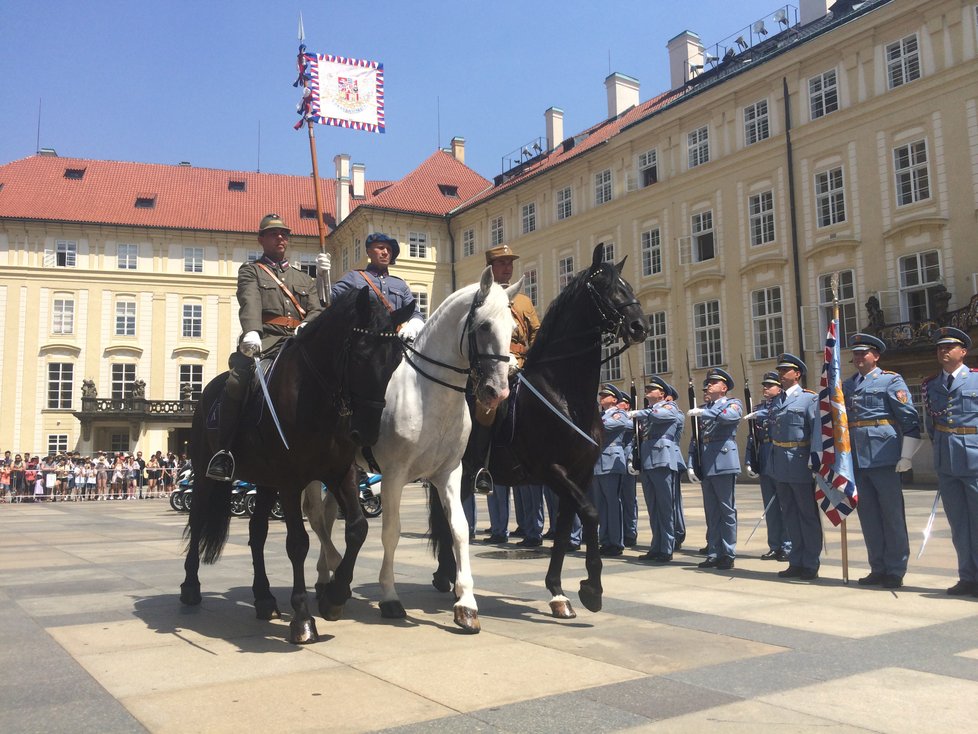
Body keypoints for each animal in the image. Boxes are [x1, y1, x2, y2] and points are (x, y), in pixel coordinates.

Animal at [179, 288, 412, 644]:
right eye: (360, 354)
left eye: (396, 360)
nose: (366, 433)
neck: (316, 398)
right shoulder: (290, 480)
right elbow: (298, 543)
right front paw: (303, 617)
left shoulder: (340, 473)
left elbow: (357, 528)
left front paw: (334, 597)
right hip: (208, 475)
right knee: (198, 520)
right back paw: (190, 587)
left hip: (264, 482)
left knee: (257, 533)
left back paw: (264, 598)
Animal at [304, 268, 520, 636]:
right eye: (484, 326)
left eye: (513, 329)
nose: (498, 391)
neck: (428, 394)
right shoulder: (394, 476)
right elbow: (391, 532)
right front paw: (389, 596)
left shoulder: (450, 473)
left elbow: (458, 529)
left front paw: (466, 604)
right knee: (317, 517)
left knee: (329, 516)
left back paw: (325, 578)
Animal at [428, 246, 644, 620]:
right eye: (606, 286)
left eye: (627, 285)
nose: (639, 325)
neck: (565, 394)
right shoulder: (552, 471)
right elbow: (592, 514)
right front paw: (592, 588)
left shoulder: (580, 474)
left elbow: (564, 529)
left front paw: (558, 592)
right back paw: (447, 577)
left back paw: (447, 575)